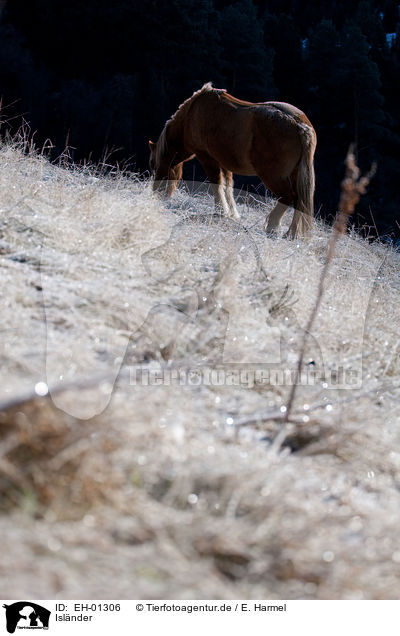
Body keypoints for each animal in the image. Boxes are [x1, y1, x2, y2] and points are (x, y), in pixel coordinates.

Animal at [148, 82, 318, 236]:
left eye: (154, 164)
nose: (155, 194)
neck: (192, 114)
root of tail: (300, 125)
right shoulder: (224, 163)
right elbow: (228, 187)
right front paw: (232, 213)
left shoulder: (207, 158)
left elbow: (216, 185)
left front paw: (220, 211)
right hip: (294, 175)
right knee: (299, 202)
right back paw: (291, 233)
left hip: (272, 176)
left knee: (288, 197)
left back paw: (273, 226)